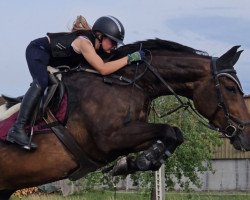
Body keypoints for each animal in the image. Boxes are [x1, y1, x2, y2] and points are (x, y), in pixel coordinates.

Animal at [0, 38, 250, 199]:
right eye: (230, 89)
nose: (246, 137)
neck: (126, 82)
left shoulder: (128, 135)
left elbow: (173, 134)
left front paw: (135, 162)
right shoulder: (109, 139)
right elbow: (170, 130)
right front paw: (142, 161)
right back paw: (18, 135)